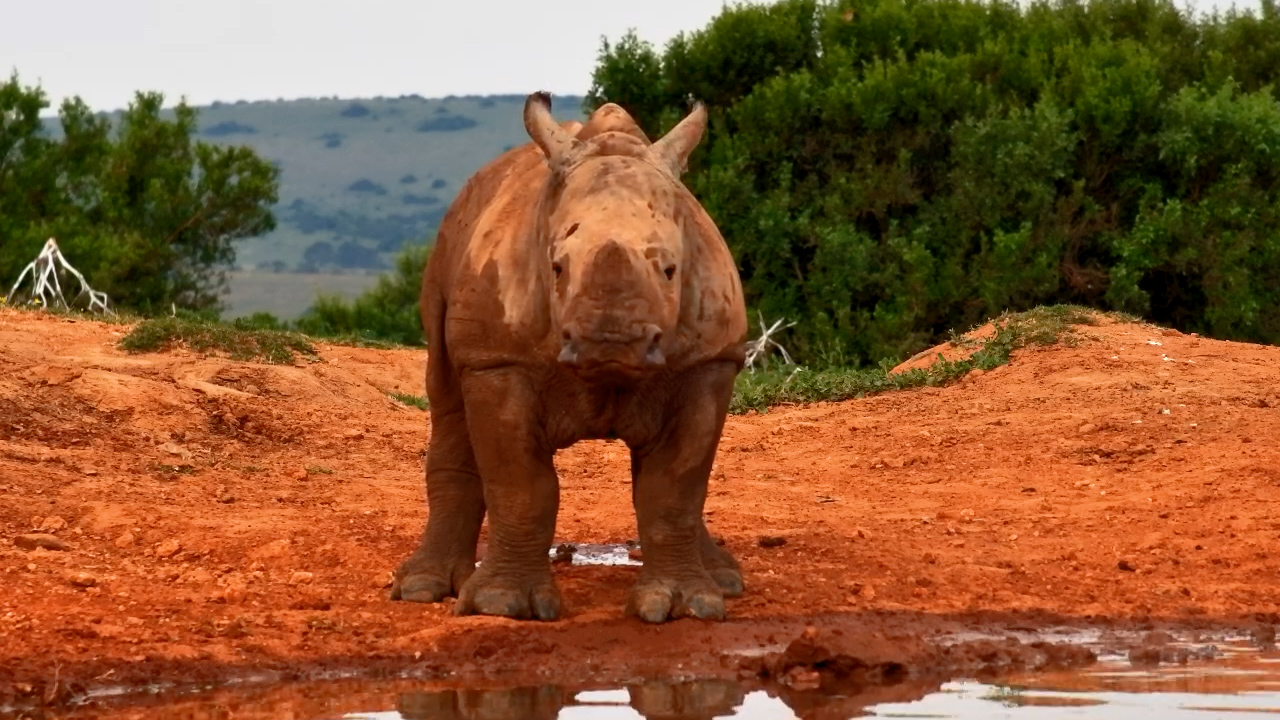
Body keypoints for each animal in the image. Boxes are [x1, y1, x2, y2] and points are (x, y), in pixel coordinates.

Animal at [390, 93, 748, 623]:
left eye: (670, 270)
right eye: (557, 267)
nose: (611, 343)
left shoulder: (709, 361)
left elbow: (675, 489)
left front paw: (688, 607)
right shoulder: (498, 361)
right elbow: (522, 487)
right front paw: (501, 604)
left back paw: (725, 581)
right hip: (447, 247)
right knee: (446, 398)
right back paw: (421, 590)